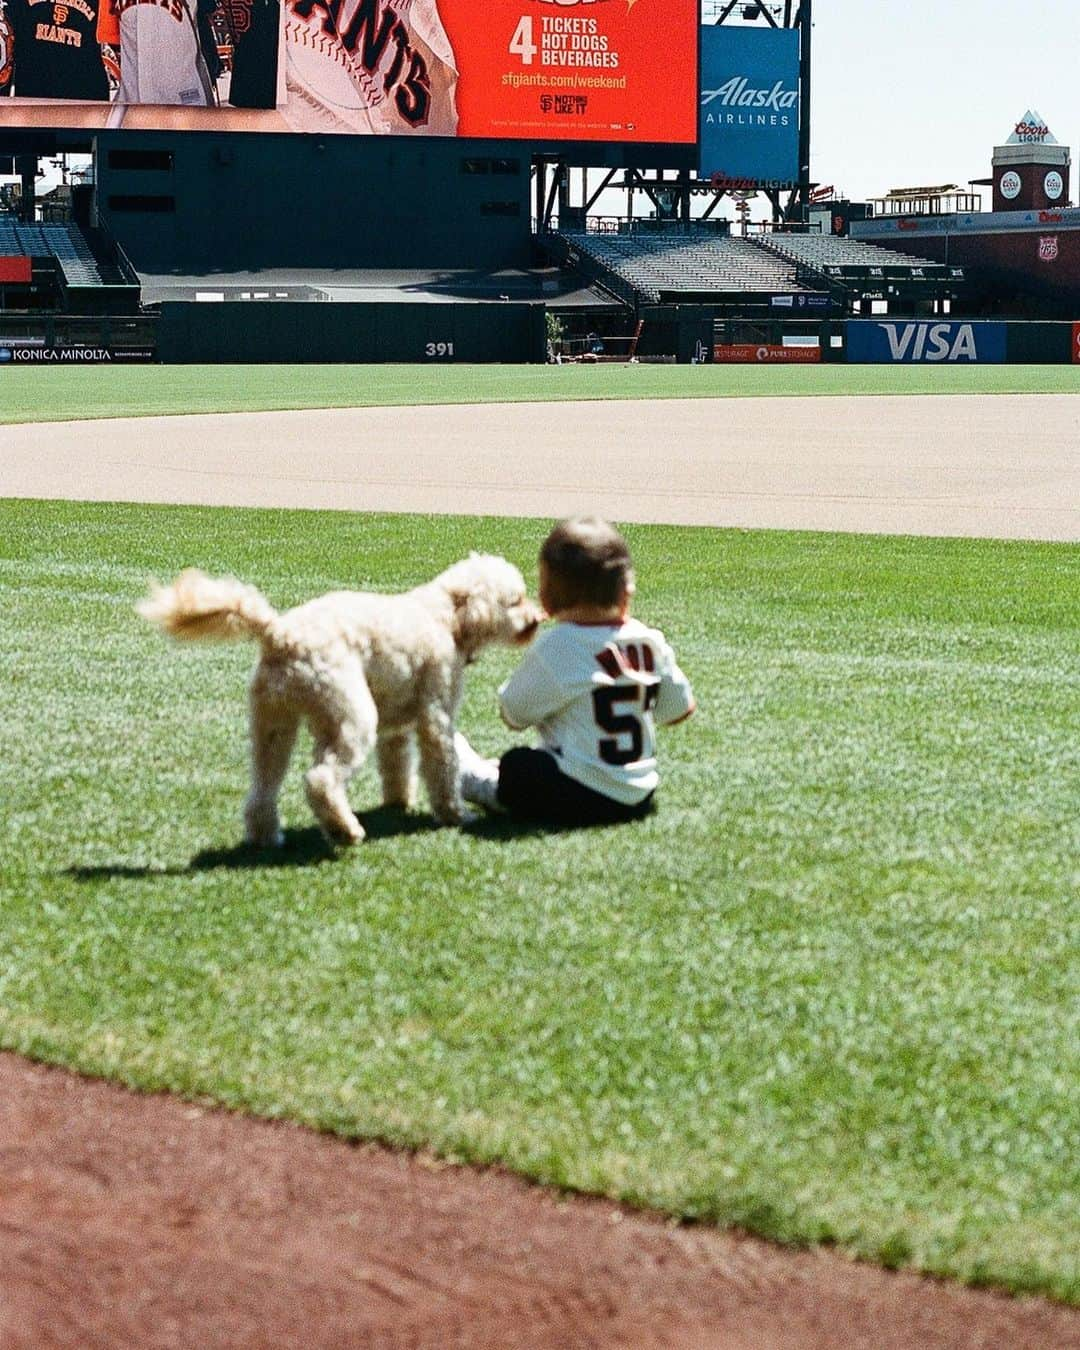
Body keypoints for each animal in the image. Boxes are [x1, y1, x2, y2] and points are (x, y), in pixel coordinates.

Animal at [139, 556, 540, 842]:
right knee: (321, 779)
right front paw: (455, 814)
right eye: (515, 600)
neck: (448, 617)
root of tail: (277, 632)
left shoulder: (396, 725)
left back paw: (266, 836)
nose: (537, 617)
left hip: (272, 722)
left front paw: (399, 802)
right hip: (350, 715)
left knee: (263, 785)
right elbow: (443, 766)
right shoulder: (435, 715)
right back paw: (345, 830)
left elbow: (396, 765)